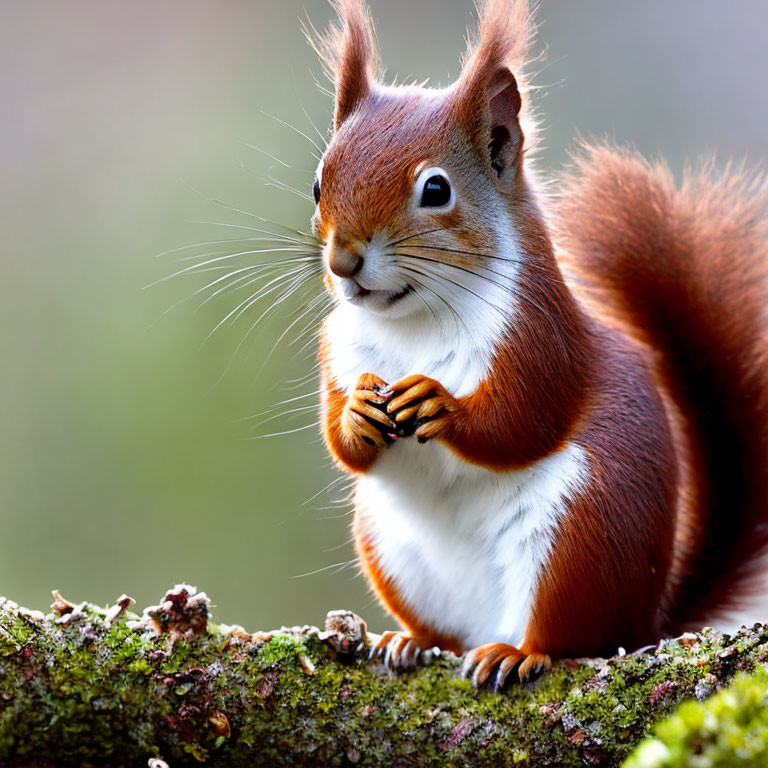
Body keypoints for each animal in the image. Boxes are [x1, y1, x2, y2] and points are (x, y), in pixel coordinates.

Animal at [308, 0, 764, 688]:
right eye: (317, 184)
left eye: (436, 190)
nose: (343, 262)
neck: (415, 320)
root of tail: (645, 621)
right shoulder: (337, 350)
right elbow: (344, 447)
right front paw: (359, 415)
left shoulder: (543, 339)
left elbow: (522, 421)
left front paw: (441, 404)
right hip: (390, 544)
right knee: (445, 631)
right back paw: (410, 641)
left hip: (579, 534)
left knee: (569, 634)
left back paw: (519, 653)